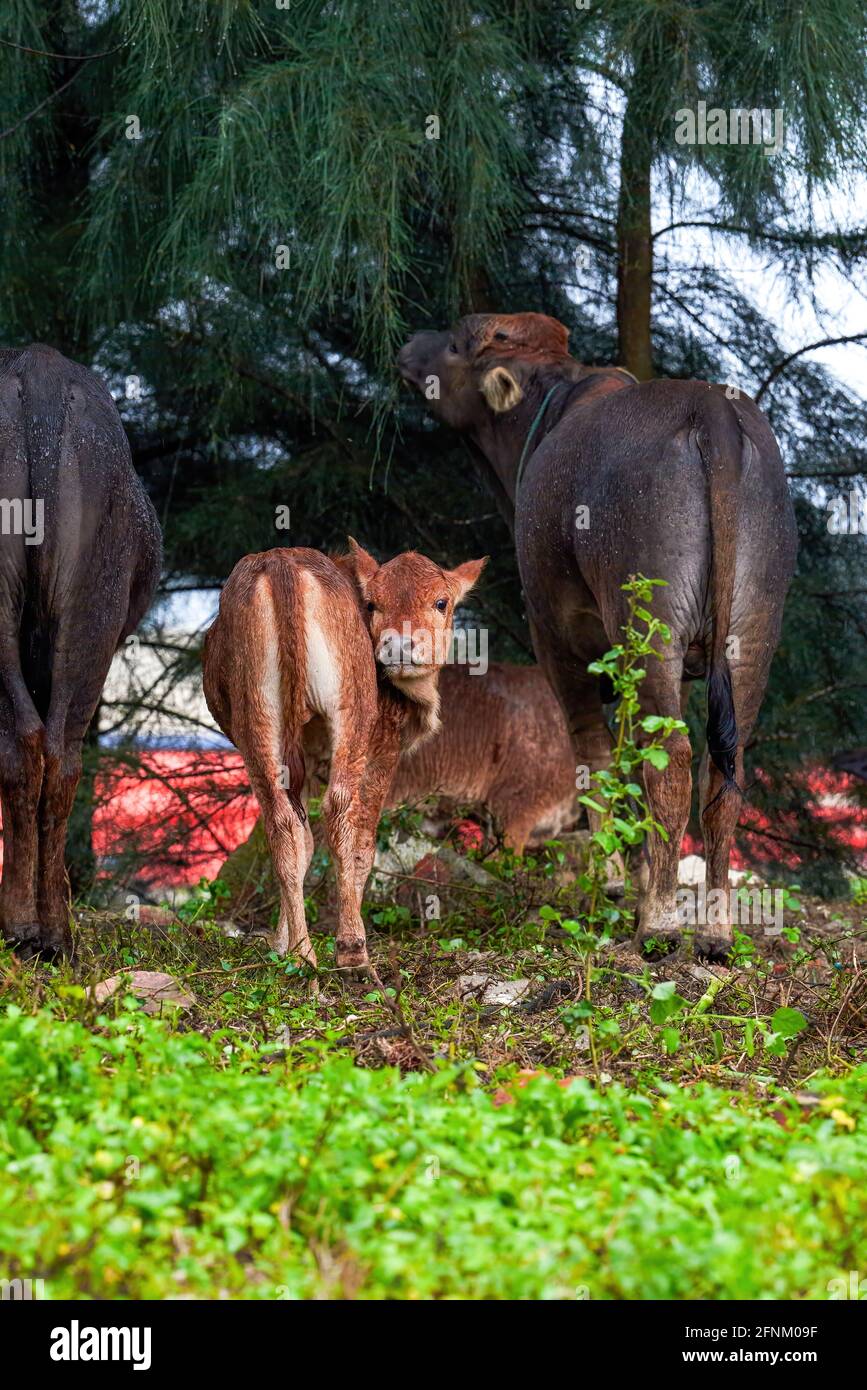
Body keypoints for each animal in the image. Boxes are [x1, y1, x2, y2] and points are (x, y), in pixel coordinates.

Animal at [202, 542, 485, 970]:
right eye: (371, 603)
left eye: (441, 601)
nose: (398, 645)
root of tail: (280, 561)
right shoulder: (385, 744)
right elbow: (363, 847)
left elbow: (304, 844)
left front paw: (281, 943)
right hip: (350, 709)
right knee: (339, 814)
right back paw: (352, 949)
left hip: (258, 719)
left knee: (282, 825)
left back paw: (302, 954)